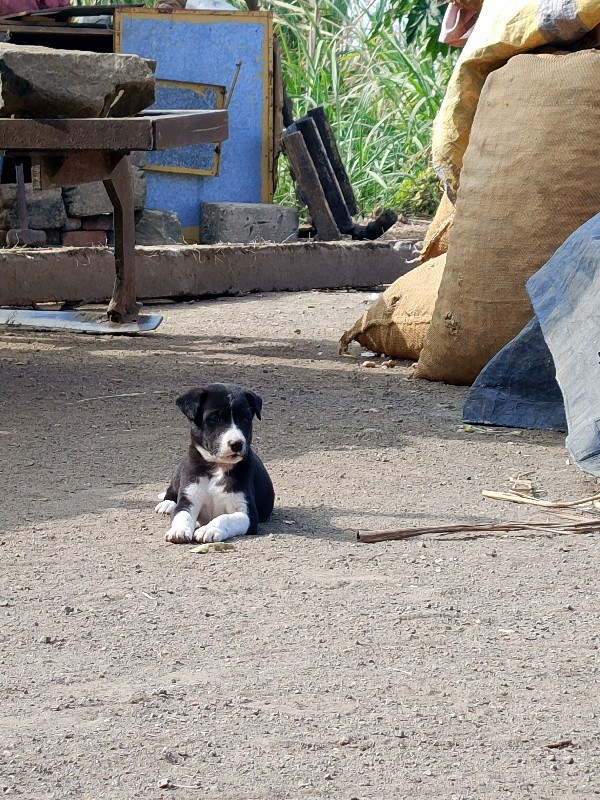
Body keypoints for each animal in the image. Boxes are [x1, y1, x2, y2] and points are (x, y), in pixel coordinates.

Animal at [156, 382, 276, 544]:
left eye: (245, 419)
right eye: (214, 419)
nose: (237, 443)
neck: (218, 466)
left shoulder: (247, 512)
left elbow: (225, 518)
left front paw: (209, 529)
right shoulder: (189, 499)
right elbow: (182, 515)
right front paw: (179, 530)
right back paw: (167, 503)